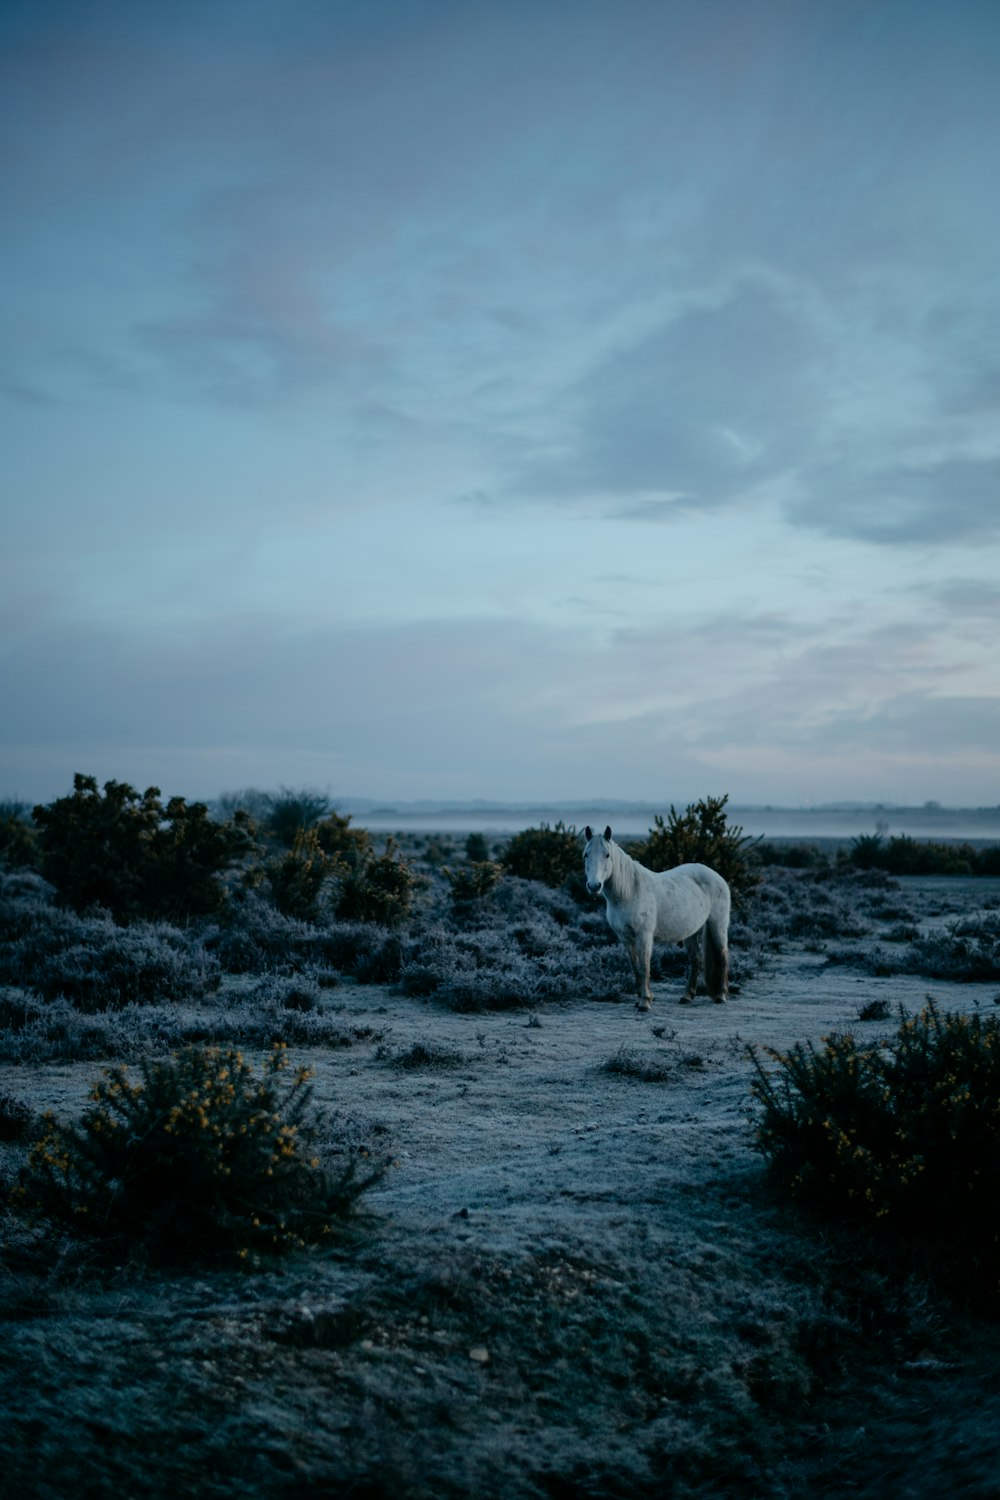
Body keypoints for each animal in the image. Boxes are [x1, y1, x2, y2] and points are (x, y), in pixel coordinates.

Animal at [581, 828, 731, 1014]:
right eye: (586, 855)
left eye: (607, 855)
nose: (594, 886)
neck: (629, 894)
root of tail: (717, 877)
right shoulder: (626, 939)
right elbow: (636, 968)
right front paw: (639, 999)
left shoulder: (644, 937)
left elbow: (645, 967)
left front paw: (645, 1002)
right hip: (690, 932)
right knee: (695, 958)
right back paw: (687, 996)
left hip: (718, 926)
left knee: (723, 955)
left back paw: (721, 995)